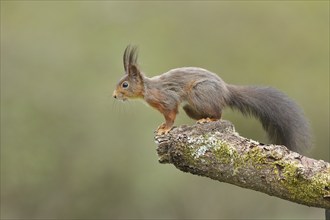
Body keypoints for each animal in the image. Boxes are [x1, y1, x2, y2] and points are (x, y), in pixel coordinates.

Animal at [112, 45, 310, 153]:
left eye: (124, 85)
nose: (114, 95)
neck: (148, 89)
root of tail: (226, 91)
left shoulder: (168, 99)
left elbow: (171, 114)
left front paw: (165, 129)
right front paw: (162, 126)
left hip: (199, 93)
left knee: (218, 113)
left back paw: (208, 119)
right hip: (192, 107)